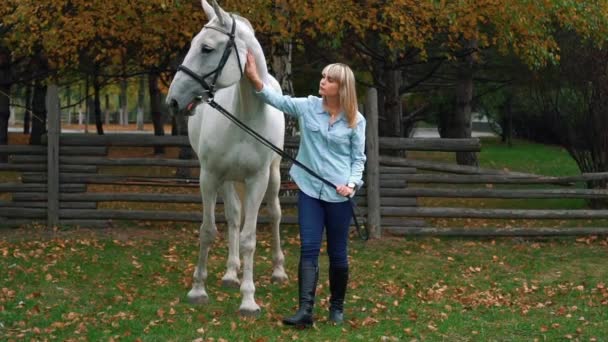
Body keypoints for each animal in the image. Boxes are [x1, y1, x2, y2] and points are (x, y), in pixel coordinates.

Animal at [165, 0, 288, 316]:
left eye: (206, 48)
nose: (173, 100)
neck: (244, 114)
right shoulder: (209, 177)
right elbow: (209, 230)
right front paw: (198, 289)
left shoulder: (257, 180)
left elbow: (249, 238)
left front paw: (249, 300)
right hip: (228, 180)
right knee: (233, 216)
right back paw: (232, 273)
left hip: (273, 176)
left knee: (274, 214)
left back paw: (278, 271)